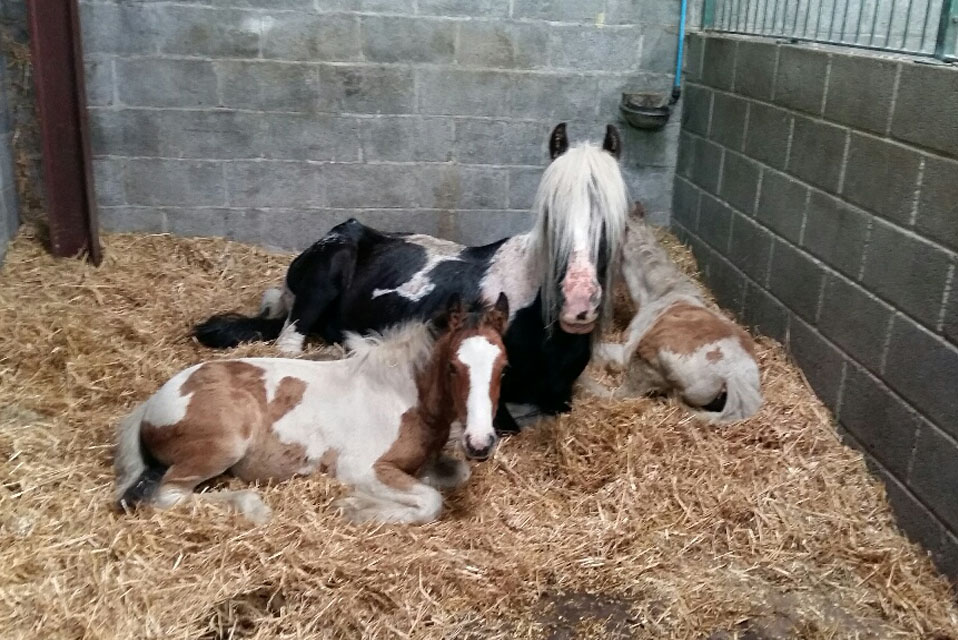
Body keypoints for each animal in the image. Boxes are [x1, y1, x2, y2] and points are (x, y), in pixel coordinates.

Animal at [114, 294, 510, 525]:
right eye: (453, 367)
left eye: (504, 367)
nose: (479, 443)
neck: (402, 395)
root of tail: (152, 403)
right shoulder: (360, 468)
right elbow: (430, 501)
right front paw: (355, 508)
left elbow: (452, 475)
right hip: (223, 446)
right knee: (169, 495)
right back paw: (254, 508)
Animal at [193, 123, 630, 434]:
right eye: (549, 216)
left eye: (613, 220)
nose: (579, 303)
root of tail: (344, 231)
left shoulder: (561, 396)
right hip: (318, 288)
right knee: (290, 344)